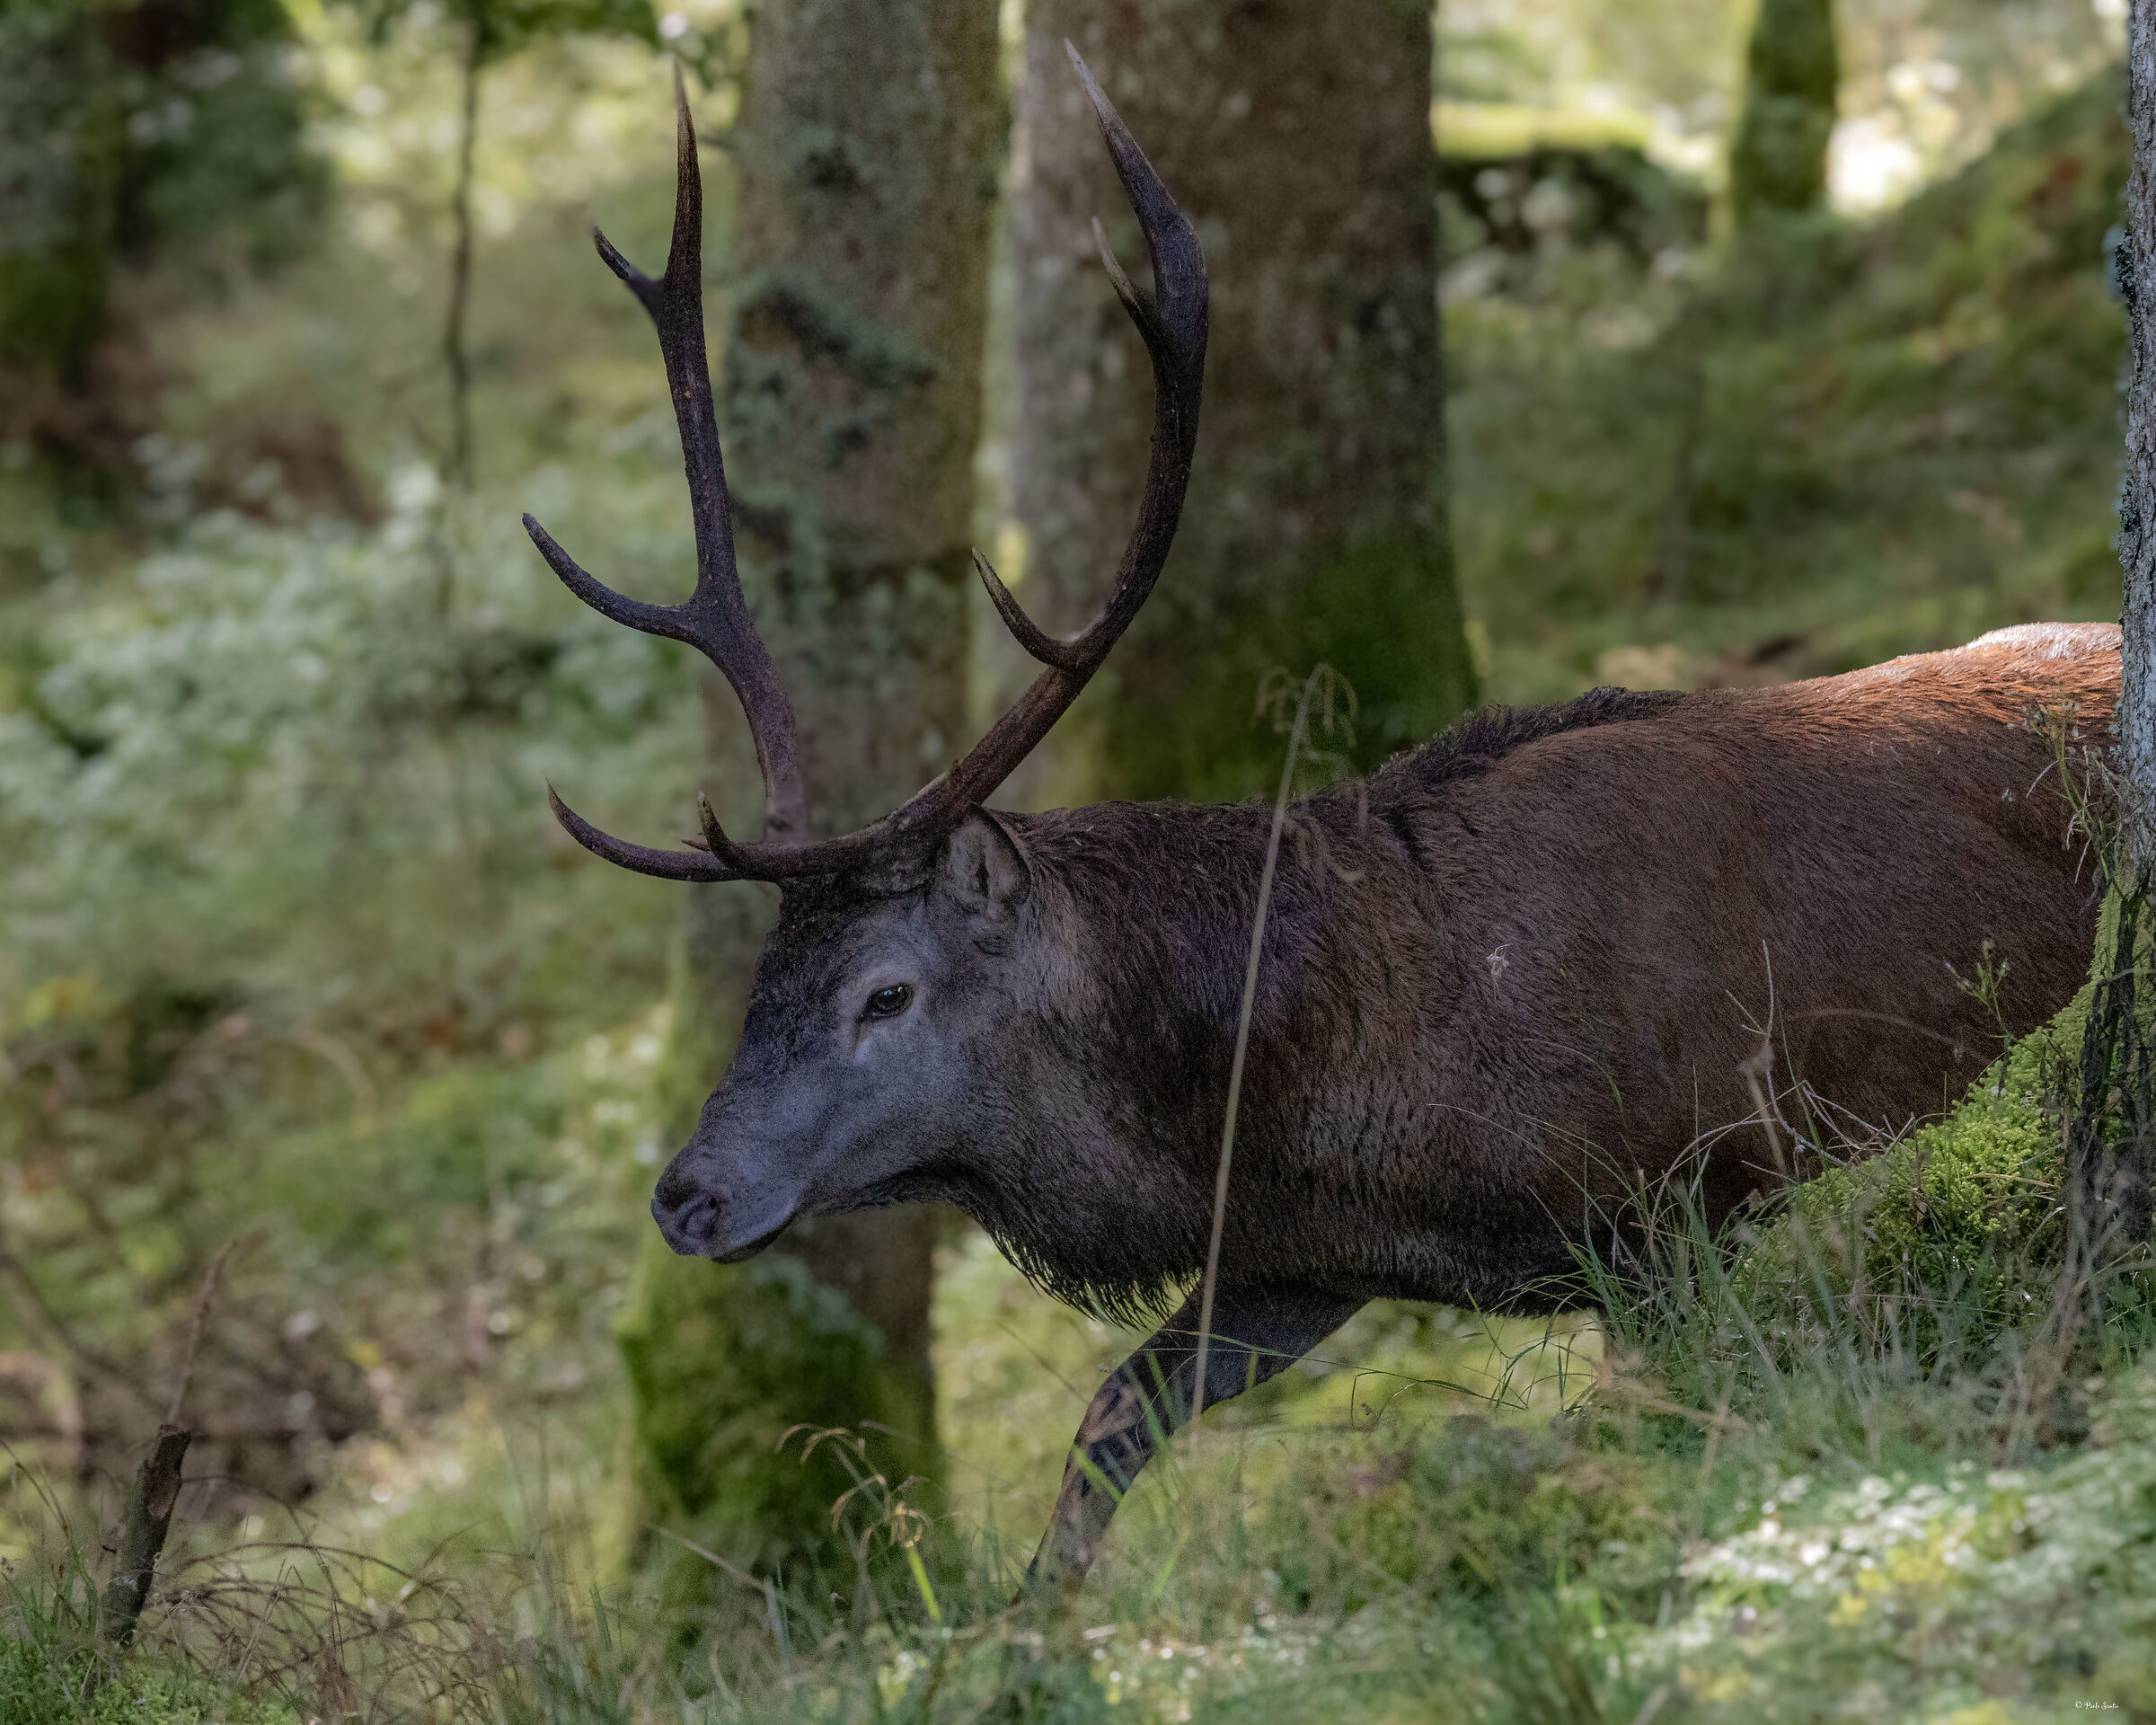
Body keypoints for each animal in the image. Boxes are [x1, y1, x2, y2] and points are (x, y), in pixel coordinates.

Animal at [525, 52, 2118, 1591]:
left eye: (884, 993)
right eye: (757, 984)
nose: (685, 1198)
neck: (1342, 1093)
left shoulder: (1665, 1192)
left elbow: (1690, 1407)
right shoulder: (1297, 1256)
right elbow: (1110, 1422)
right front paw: (1032, 1633)